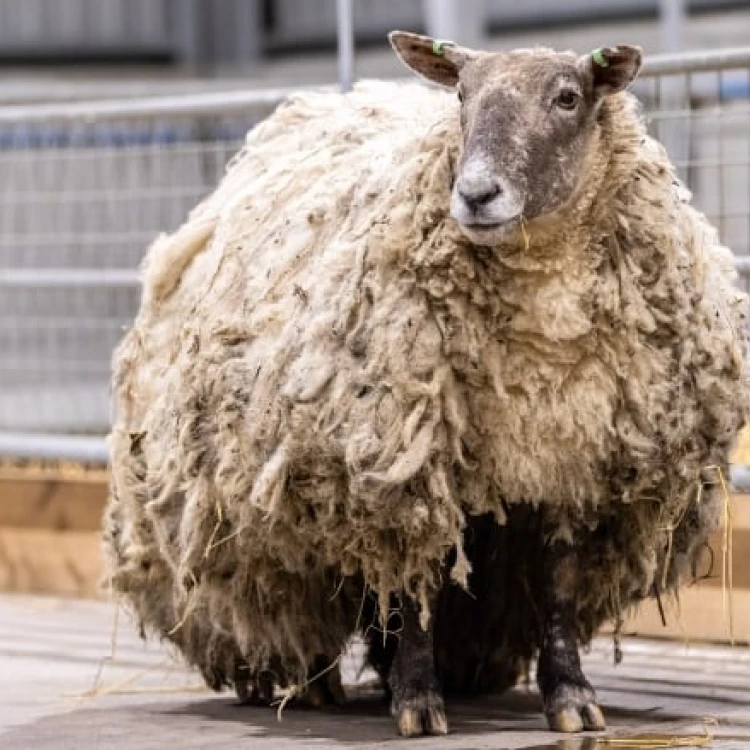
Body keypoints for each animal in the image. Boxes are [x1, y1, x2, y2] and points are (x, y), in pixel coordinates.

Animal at [104, 30, 750, 740]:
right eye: (462, 95)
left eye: (568, 97)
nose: (476, 194)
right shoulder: (407, 468)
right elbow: (418, 587)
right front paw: (417, 702)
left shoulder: (574, 469)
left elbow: (555, 588)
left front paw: (572, 698)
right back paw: (309, 682)